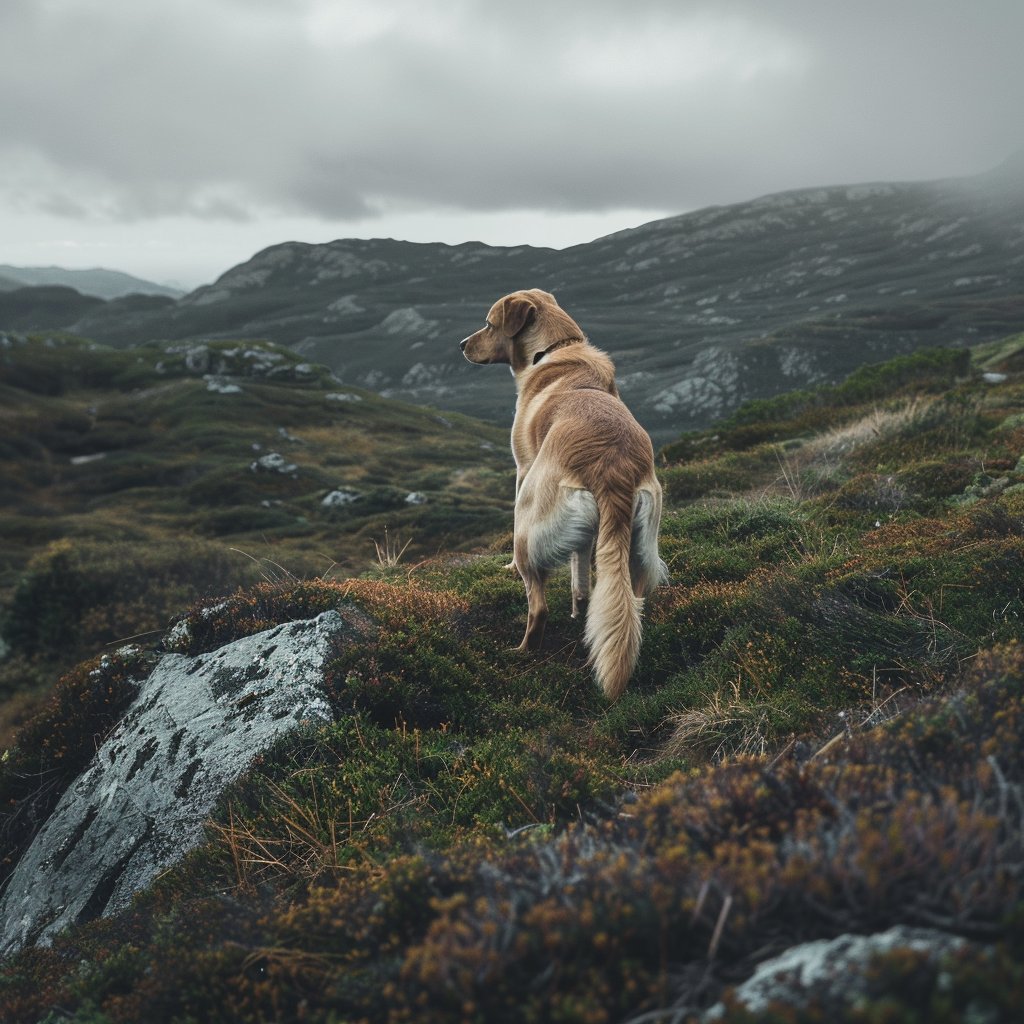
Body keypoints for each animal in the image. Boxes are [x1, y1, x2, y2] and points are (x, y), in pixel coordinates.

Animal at [462, 292, 663, 700]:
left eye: (489, 324)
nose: (461, 345)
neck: (556, 350)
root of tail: (613, 469)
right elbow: (579, 571)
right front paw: (578, 601)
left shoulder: (522, 467)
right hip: (639, 547)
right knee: (627, 603)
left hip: (528, 525)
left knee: (537, 606)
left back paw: (522, 652)